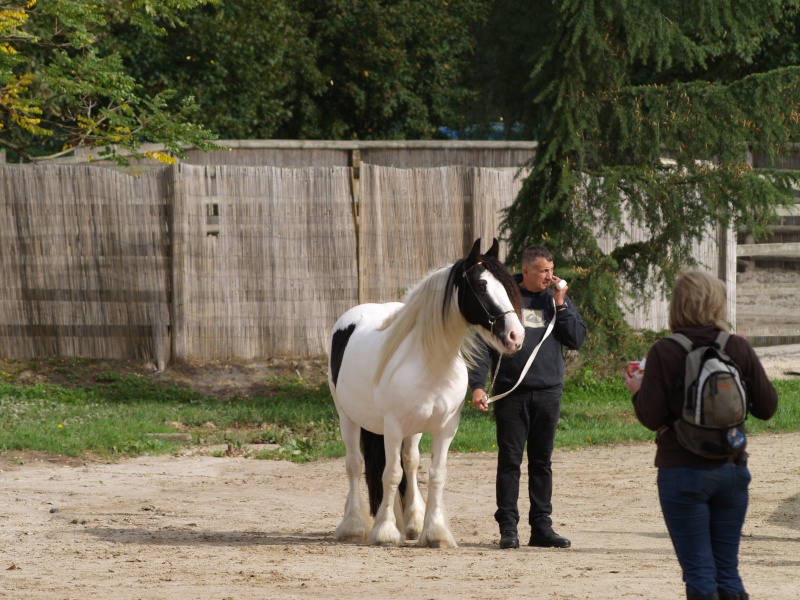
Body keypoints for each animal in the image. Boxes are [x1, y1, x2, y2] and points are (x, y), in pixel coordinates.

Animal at [326, 237, 524, 548]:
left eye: (507, 285)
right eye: (481, 286)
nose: (516, 336)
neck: (431, 362)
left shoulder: (446, 429)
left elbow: (434, 474)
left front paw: (435, 532)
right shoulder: (393, 427)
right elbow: (391, 474)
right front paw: (385, 530)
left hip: (413, 430)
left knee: (410, 461)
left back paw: (411, 521)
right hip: (348, 417)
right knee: (354, 464)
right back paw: (354, 526)